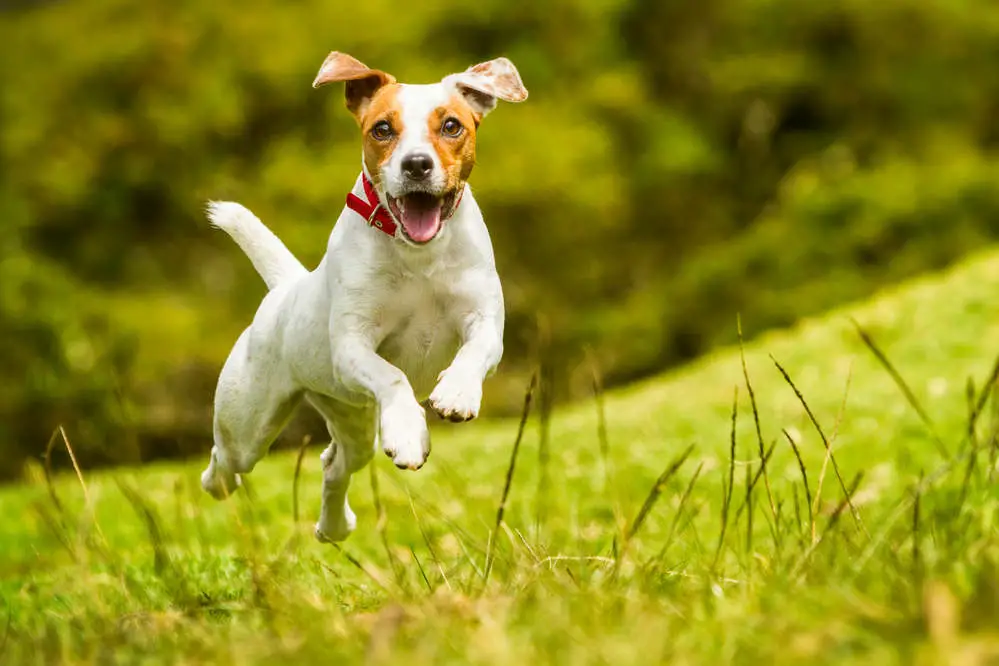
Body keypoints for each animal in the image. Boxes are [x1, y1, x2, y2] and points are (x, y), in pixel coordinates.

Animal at [198, 50, 528, 540]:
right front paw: (409, 432)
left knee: (334, 463)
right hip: (249, 422)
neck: (417, 255)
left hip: (351, 417)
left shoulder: (484, 320)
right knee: (226, 461)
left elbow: (475, 351)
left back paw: (334, 526)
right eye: (383, 129)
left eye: (451, 125)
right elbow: (393, 376)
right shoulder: (353, 346)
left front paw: (456, 394)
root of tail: (286, 288)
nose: (416, 164)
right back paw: (220, 483)